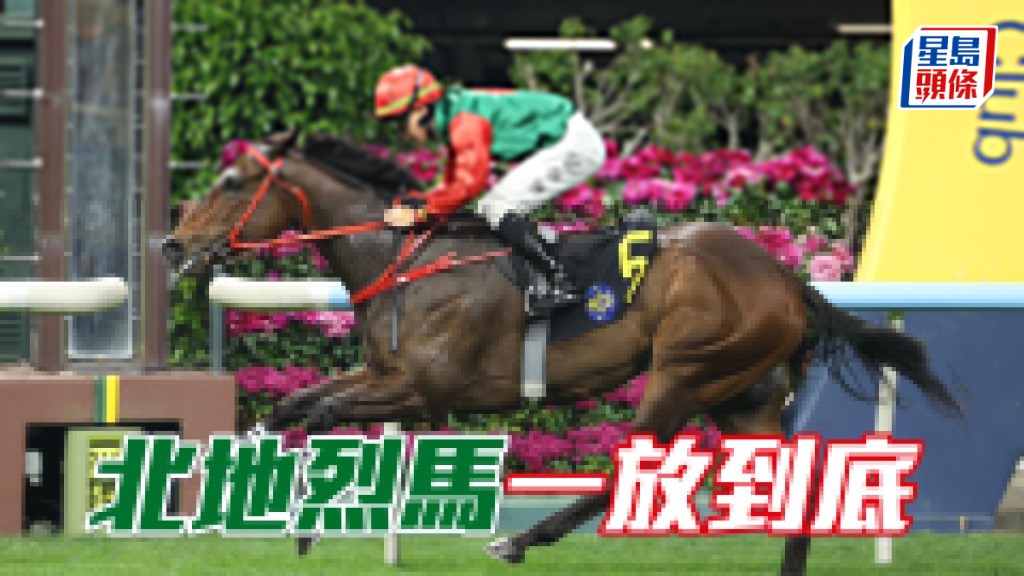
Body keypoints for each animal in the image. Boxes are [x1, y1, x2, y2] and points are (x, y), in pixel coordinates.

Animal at [164, 130, 963, 575]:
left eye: (231, 182)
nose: (172, 244)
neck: (406, 256)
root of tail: (788, 278)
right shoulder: (387, 372)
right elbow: (295, 407)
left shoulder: (428, 389)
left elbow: (320, 413)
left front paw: (299, 520)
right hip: (744, 395)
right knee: (796, 480)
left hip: (685, 372)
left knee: (634, 466)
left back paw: (519, 542)